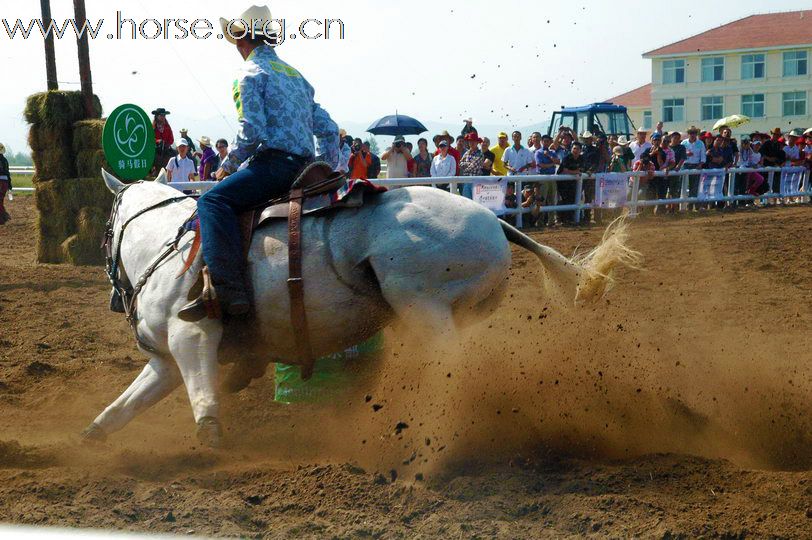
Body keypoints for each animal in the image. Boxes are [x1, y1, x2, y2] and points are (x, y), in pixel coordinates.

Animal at [84, 170, 640, 448]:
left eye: (105, 229)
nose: (114, 296)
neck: (169, 247)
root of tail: (495, 220)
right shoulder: (164, 362)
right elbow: (119, 409)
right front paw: (85, 443)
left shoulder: (192, 340)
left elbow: (203, 399)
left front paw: (211, 438)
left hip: (423, 309)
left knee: (455, 373)